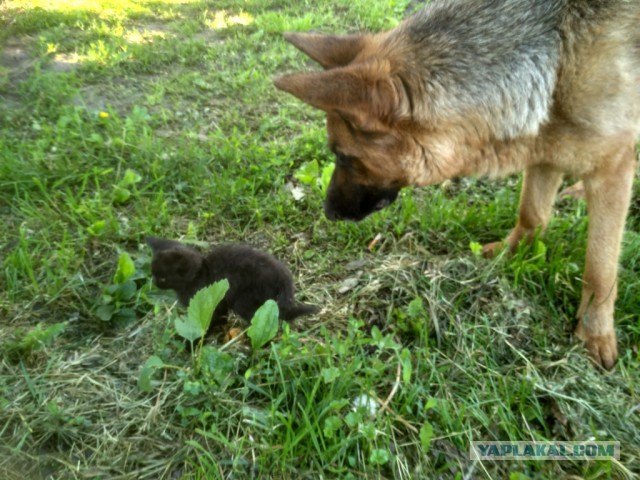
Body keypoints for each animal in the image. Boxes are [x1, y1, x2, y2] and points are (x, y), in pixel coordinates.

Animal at [144, 235, 316, 336]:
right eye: (153, 274)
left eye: (163, 278)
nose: (156, 284)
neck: (200, 273)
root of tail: (284, 279)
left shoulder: (210, 303)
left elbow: (208, 321)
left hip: (244, 300)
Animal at [276, 0, 640, 370]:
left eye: (344, 155)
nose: (328, 212)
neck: (558, 56)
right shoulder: (544, 146)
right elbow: (532, 213)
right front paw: (510, 252)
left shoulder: (612, 166)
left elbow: (600, 266)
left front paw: (594, 332)